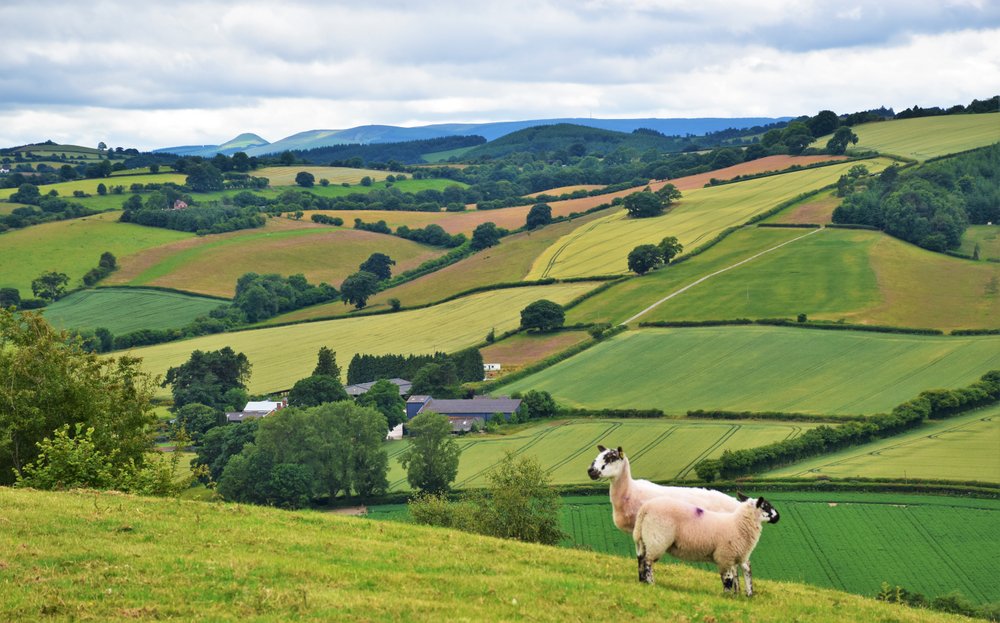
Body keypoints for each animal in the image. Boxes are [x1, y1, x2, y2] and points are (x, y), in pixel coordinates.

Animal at [632, 490, 780, 596]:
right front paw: (727, 596)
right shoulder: (725, 556)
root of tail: (644, 509)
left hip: (644, 539)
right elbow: (728, 578)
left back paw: (642, 581)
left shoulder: (737, 556)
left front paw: (743, 595)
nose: (778, 516)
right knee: (648, 561)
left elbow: (742, 575)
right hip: (656, 539)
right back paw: (651, 583)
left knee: (641, 559)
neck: (738, 524)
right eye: (766, 506)